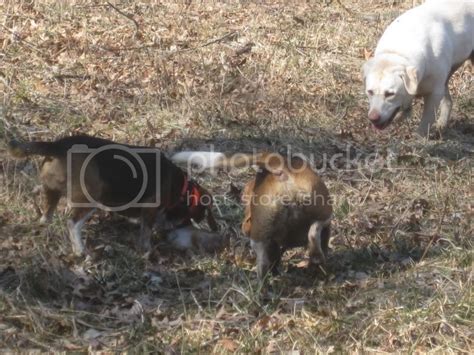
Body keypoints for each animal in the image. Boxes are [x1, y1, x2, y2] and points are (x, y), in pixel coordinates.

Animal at [7, 136, 218, 256]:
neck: (181, 188)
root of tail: (59, 145)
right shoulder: (150, 211)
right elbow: (146, 233)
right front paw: (147, 251)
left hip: (51, 190)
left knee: (45, 212)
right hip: (91, 197)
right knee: (72, 223)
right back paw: (80, 250)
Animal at [364, 0, 472, 137]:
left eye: (390, 94)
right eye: (370, 92)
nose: (373, 118)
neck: (399, 51)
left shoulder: (434, 93)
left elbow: (426, 120)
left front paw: (418, 138)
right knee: (448, 100)